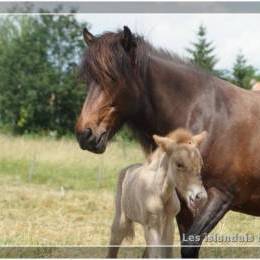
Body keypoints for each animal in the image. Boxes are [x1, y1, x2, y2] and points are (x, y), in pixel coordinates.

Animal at [107, 128, 207, 258]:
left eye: (201, 164)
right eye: (179, 164)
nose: (200, 197)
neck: (161, 194)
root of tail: (128, 169)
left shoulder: (169, 225)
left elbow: (167, 254)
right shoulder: (152, 227)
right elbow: (156, 255)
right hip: (121, 223)